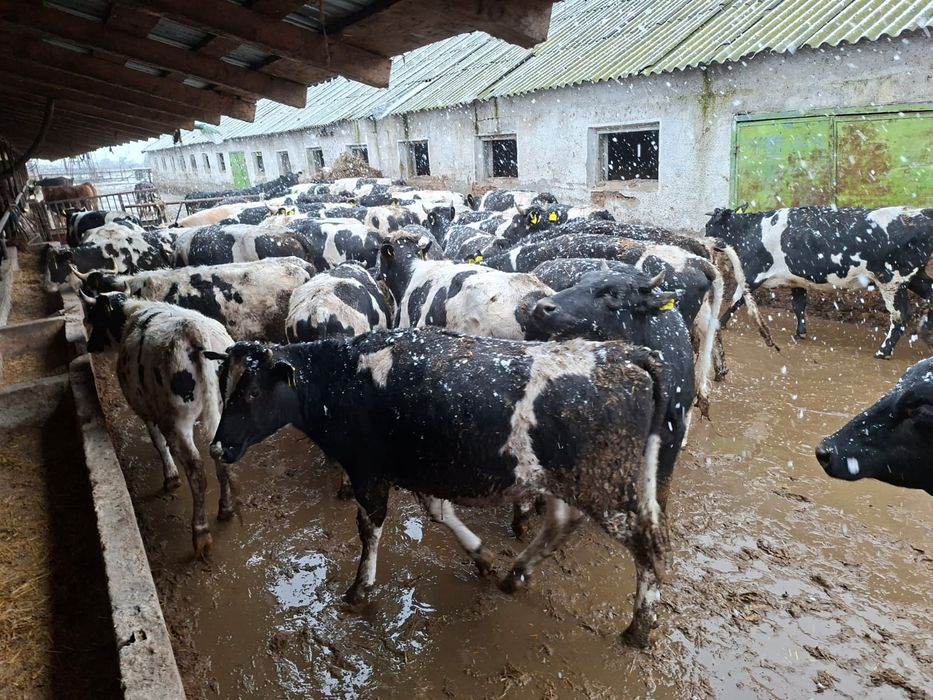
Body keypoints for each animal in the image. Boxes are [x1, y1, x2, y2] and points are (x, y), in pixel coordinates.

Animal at [80, 292, 235, 557]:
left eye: (95, 318)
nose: (89, 346)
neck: (131, 314)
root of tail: (193, 330)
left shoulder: (143, 408)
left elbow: (158, 443)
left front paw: (171, 477)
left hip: (177, 419)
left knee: (197, 471)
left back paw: (201, 534)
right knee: (220, 458)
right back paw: (225, 509)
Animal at [208, 328, 672, 647]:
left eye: (251, 393)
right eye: (221, 385)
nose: (217, 447)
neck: (343, 378)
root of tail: (626, 353)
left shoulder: (368, 471)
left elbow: (370, 528)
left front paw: (361, 588)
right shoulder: (418, 469)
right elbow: (440, 513)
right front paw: (481, 557)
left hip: (607, 488)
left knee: (646, 543)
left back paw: (639, 627)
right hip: (563, 479)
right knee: (562, 521)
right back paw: (516, 573)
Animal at [706, 206, 933, 358]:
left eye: (709, 225)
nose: (704, 236)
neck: (751, 230)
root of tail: (921, 213)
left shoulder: (752, 274)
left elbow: (736, 300)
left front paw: (720, 323)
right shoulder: (797, 280)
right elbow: (799, 306)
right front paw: (800, 333)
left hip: (892, 280)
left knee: (900, 315)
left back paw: (883, 351)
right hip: (916, 277)